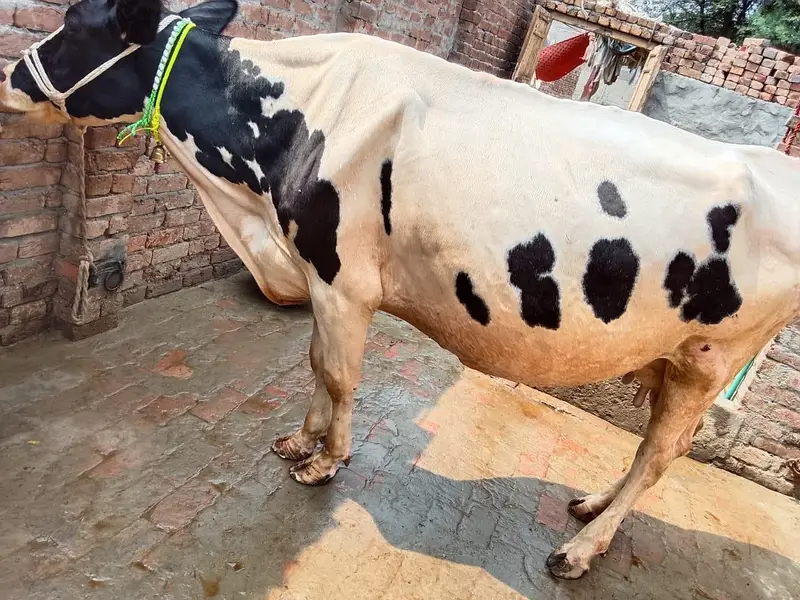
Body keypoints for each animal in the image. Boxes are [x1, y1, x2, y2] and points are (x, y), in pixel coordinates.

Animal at [2, 0, 799, 580]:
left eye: (75, 23)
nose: (10, 75)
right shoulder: (318, 276)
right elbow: (315, 364)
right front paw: (299, 440)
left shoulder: (344, 279)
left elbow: (339, 372)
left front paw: (325, 462)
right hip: (676, 357)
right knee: (649, 451)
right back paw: (588, 506)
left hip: (710, 357)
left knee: (662, 455)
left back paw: (580, 550)